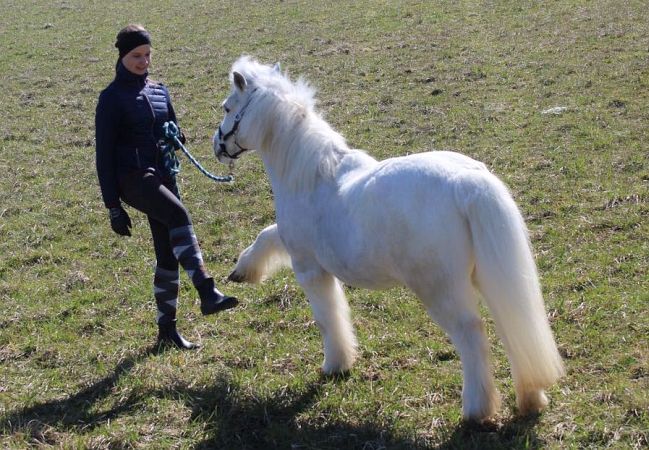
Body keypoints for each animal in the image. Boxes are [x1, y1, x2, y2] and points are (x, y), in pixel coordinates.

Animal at [214, 57, 560, 422]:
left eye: (227, 107)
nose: (217, 146)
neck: (314, 175)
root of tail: (464, 183)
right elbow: (266, 235)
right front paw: (243, 270)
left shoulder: (309, 269)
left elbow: (328, 318)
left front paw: (336, 364)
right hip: (491, 276)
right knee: (515, 331)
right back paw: (530, 398)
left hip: (442, 291)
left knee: (472, 337)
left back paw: (476, 410)